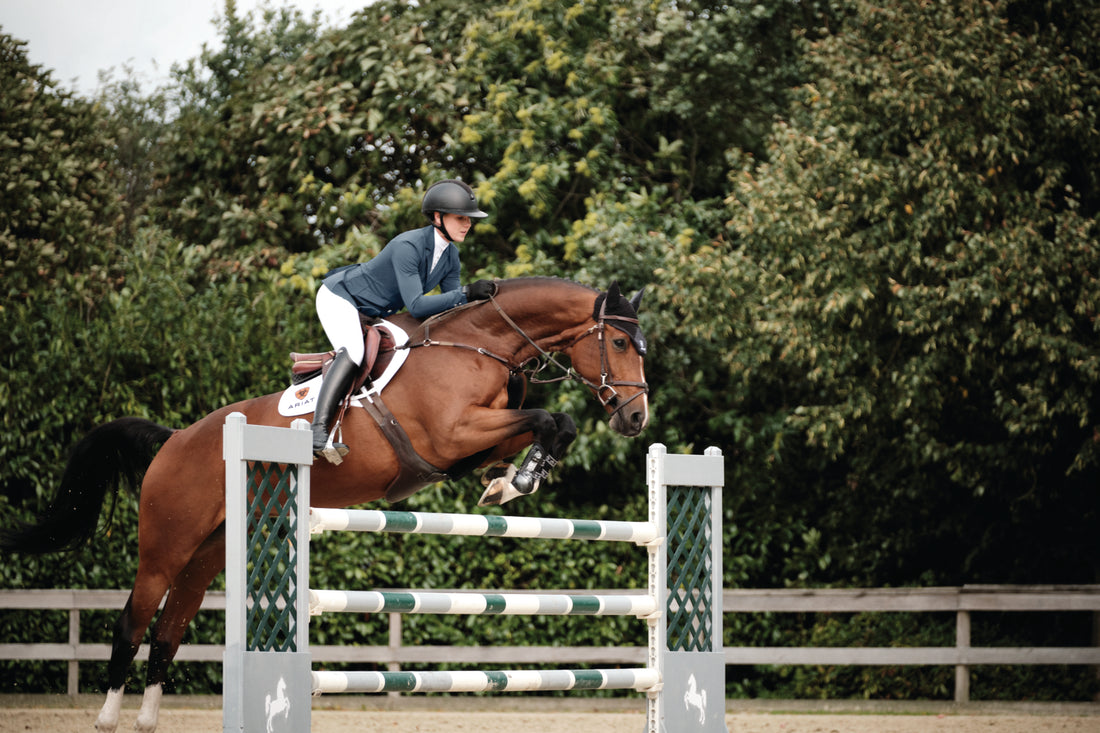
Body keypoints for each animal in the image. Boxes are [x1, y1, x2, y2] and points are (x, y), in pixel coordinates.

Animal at [0, 277, 646, 726]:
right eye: (618, 340)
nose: (636, 418)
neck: (479, 344)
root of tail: (176, 439)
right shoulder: (452, 433)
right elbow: (548, 417)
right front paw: (517, 480)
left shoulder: (474, 439)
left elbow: (551, 424)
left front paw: (511, 480)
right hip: (165, 547)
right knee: (134, 622)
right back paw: (109, 718)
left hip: (207, 553)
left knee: (169, 630)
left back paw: (147, 722)